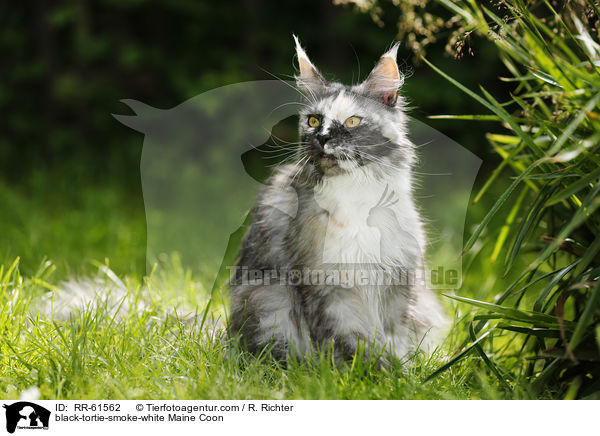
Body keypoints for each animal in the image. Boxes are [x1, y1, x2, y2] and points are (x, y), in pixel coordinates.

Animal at [230, 36, 446, 362]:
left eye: (353, 121)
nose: (322, 137)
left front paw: (400, 370)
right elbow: (348, 341)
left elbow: (394, 339)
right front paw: (364, 370)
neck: (355, 196)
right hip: (267, 297)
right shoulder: (327, 284)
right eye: (313, 120)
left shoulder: (397, 284)